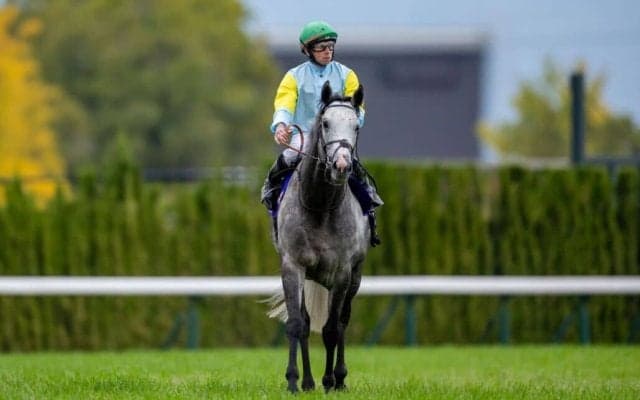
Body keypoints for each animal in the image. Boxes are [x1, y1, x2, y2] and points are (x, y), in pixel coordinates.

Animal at [267, 81, 370, 393]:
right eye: (325, 123)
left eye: (356, 126)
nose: (341, 165)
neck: (321, 205)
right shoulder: (293, 267)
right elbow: (297, 324)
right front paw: (295, 381)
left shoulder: (342, 272)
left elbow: (332, 329)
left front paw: (330, 381)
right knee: (307, 321)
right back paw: (309, 381)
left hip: (356, 276)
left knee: (343, 321)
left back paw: (339, 378)